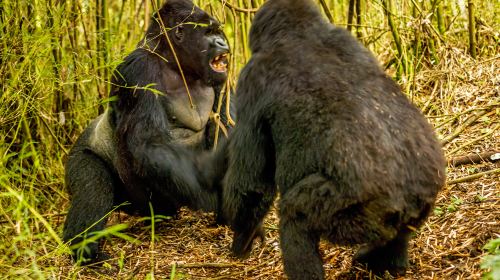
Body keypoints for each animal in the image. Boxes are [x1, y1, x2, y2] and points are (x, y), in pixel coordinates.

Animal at [62, 0, 232, 262]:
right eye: (208, 33)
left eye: (217, 31)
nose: (223, 42)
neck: (172, 61)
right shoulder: (138, 70)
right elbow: (149, 143)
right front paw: (213, 198)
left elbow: (221, 128)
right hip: (79, 156)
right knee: (93, 189)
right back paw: (84, 249)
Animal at [223, 0, 446, 276]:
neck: (299, 32)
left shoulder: (250, 79)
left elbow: (251, 184)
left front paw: (243, 237)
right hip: (420, 202)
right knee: (400, 234)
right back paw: (387, 260)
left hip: (352, 210)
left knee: (295, 214)